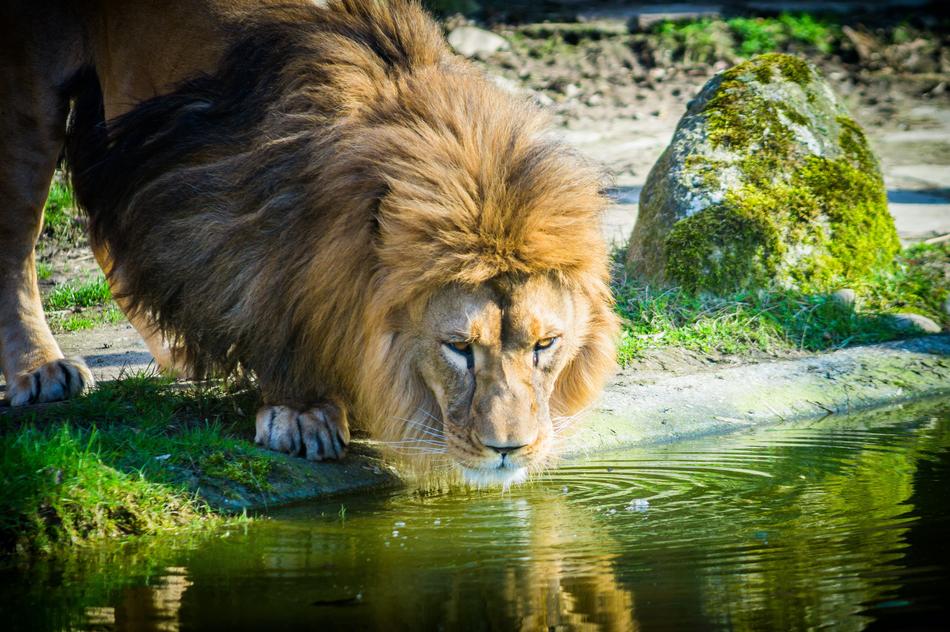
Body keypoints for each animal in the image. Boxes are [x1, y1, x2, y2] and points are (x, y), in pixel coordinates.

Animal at [0, 0, 616, 486]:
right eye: (458, 348)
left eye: (545, 345)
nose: (509, 450)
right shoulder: (225, 202)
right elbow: (264, 302)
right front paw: (300, 411)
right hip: (30, 92)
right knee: (18, 240)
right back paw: (42, 370)